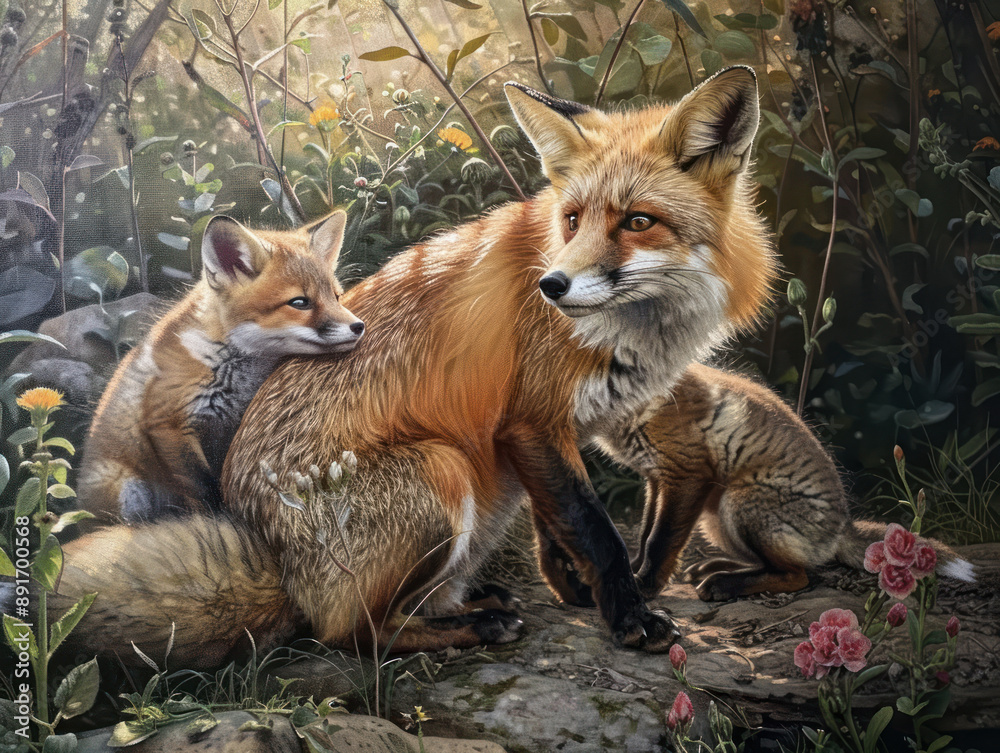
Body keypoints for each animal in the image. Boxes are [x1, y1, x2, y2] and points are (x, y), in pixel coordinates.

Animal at [77, 211, 365, 523]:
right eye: (300, 302)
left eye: (336, 297)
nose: (359, 326)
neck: (226, 364)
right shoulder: (167, 423)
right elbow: (204, 489)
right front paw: (221, 520)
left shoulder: (232, 428)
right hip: (128, 492)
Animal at [592, 362, 976, 603]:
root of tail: (842, 527)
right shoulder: (655, 479)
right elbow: (644, 535)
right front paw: (631, 573)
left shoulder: (686, 473)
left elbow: (660, 540)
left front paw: (644, 586)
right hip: (716, 518)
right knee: (771, 565)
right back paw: (719, 571)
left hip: (739, 504)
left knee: (798, 576)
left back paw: (724, 584)